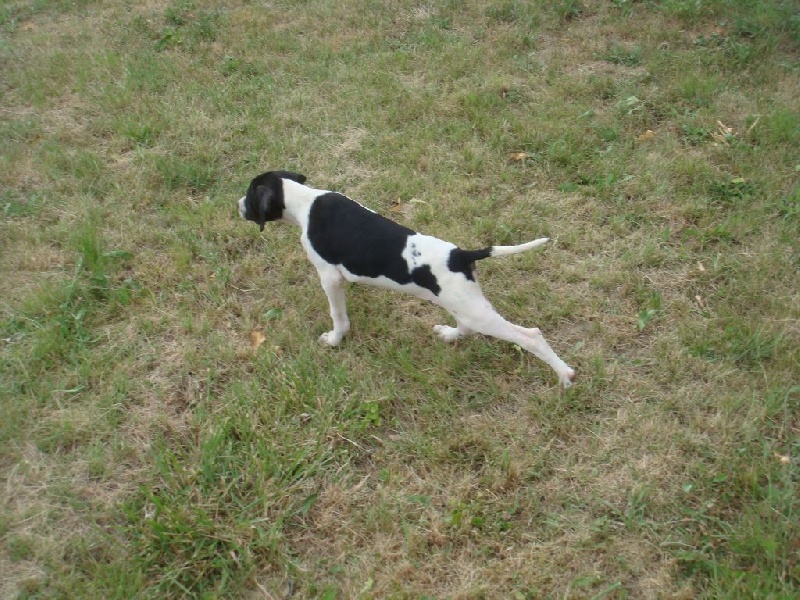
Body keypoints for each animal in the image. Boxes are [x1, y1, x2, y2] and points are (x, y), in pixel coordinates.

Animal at [237, 170, 576, 387]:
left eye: (250, 195)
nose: (237, 205)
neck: (306, 201)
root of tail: (460, 255)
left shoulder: (329, 277)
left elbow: (338, 316)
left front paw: (335, 339)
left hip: (476, 311)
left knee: (530, 336)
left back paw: (564, 375)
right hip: (463, 303)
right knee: (466, 327)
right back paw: (449, 335)